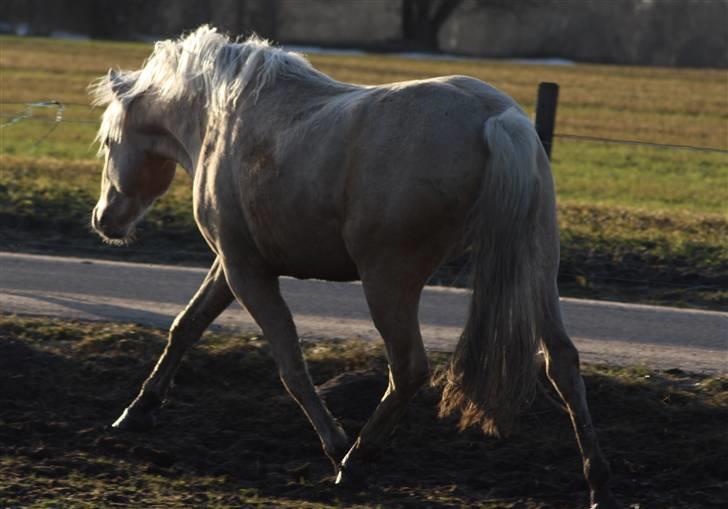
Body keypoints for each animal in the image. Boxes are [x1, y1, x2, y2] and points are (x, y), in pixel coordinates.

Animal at [88, 26, 616, 504]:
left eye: (110, 141)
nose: (104, 219)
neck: (223, 119)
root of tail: (500, 119)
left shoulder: (246, 271)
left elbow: (290, 364)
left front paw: (334, 442)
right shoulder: (232, 265)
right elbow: (186, 327)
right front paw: (137, 411)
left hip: (388, 283)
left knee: (408, 369)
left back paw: (355, 462)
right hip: (535, 267)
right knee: (562, 362)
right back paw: (597, 483)